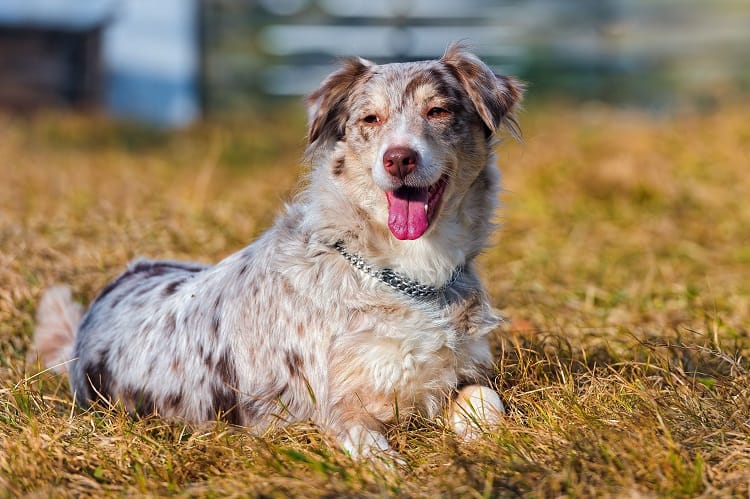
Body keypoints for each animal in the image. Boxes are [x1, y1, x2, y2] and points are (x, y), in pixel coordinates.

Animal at [33, 45, 524, 458]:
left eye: (438, 111)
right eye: (370, 119)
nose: (399, 158)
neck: (409, 275)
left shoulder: (462, 372)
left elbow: (487, 401)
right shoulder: (335, 409)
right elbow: (375, 452)